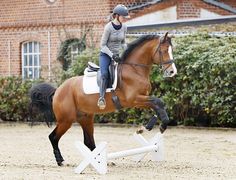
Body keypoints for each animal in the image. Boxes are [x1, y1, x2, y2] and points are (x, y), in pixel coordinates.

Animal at [29, 32, 176, 166]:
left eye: (171, 50)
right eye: (163, 51)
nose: (172, 72)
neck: (134, 70)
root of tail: (58, 90)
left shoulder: (142, 99)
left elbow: (157, 105)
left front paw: (145, 128)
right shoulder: (134, 99)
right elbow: (158, 102)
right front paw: (162, 125)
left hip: (86, 118)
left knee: (88, 142)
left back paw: (100, 160)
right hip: (66, 120)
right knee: (53, 137)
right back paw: (61, 161)